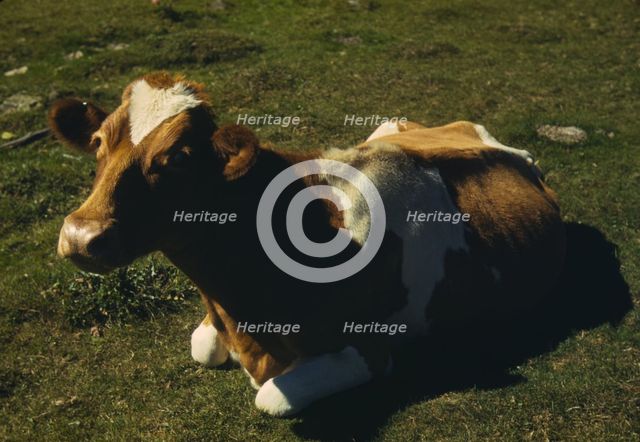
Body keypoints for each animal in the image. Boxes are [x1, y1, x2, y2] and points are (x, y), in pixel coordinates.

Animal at [49, 72, 566, 416]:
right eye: (99, 142)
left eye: (178, 157)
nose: (81, 235)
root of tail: (505, 147)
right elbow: (203, 346)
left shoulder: (368, 350)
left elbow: (270, 398)